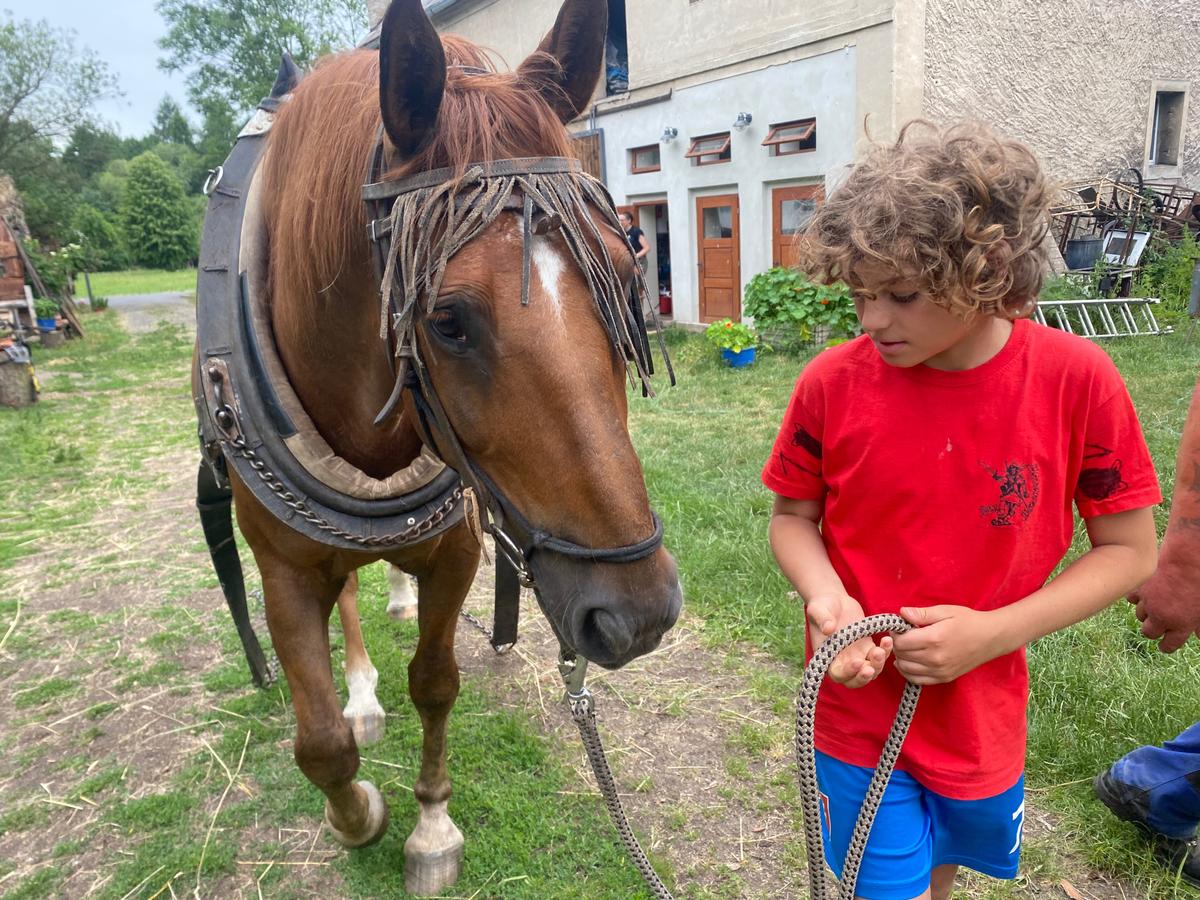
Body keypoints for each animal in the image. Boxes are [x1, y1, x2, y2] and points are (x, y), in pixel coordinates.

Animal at [216, 0, 681, 897]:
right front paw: (358, 813)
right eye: (449, 321)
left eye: (623, 275)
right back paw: (362, 691)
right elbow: (318, 740)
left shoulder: (457, 546)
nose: (636, 614)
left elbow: (435, 683)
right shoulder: (280, 565)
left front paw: (431, 826)